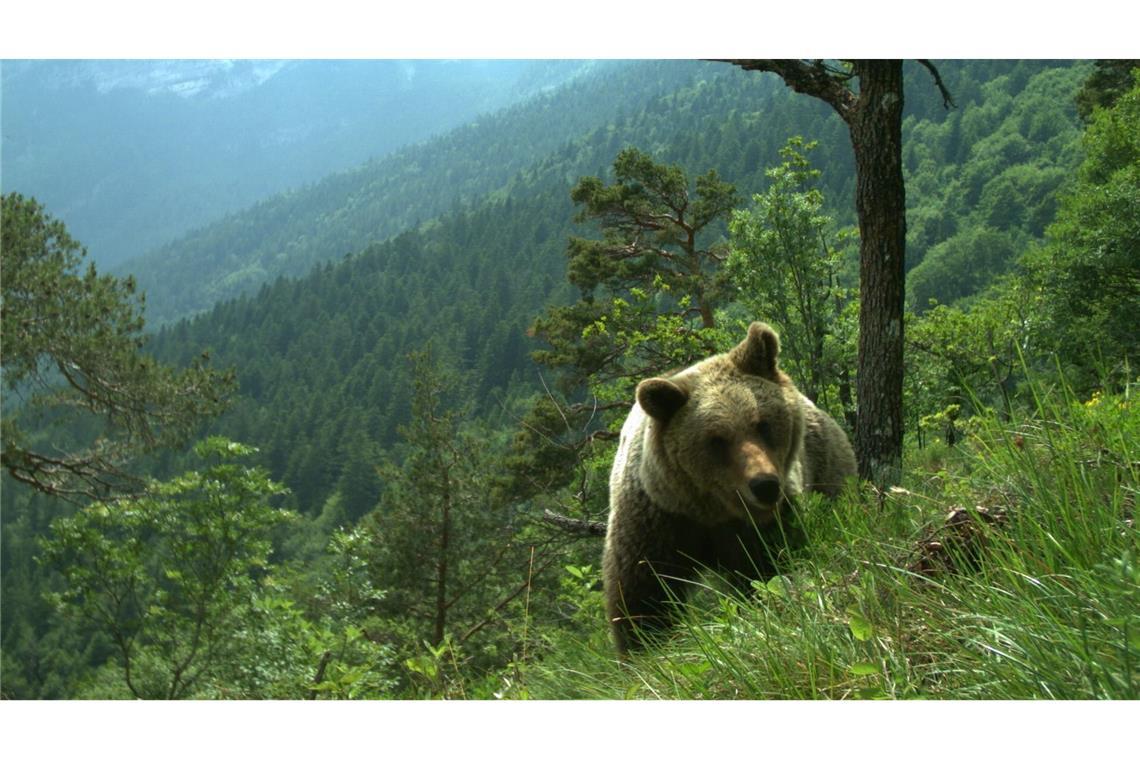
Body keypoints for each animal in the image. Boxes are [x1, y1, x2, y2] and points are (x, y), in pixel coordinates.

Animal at [606, 321, 857, 656]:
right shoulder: (658, 519)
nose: (765, 485)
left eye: (762, 423)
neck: (713, 509)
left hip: (827, 467)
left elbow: (768, 569)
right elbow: (643, 591)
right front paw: (645, 646)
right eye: (716, 439)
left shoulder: (764, 524)